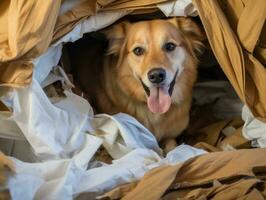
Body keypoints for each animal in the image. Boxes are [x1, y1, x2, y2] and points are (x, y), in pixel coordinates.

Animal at [70, 17, 204, 152]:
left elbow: (172, 145)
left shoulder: (171, 136)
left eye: (170, 46)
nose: (156, 76)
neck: (155, 113)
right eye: (138, 50)